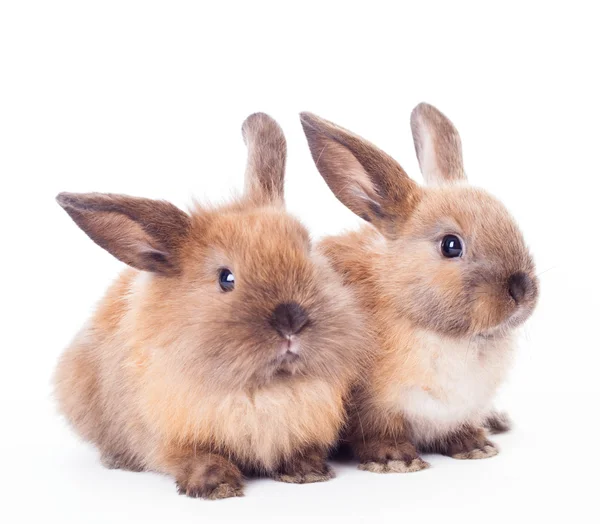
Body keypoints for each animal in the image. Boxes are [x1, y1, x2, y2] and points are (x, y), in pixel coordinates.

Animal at [54, 112, 370, 498]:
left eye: (308, 252)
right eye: (226, 278)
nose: (291, 320)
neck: (260, 392)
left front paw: (307, 471)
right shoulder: (171, 438)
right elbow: (193, 457)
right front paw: (216, 485)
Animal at [300, 104, 540, 472]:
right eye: (451, 245)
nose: (522, 289)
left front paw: (475, 446)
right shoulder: (375, 409)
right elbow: (378, 434)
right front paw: (394, 460)